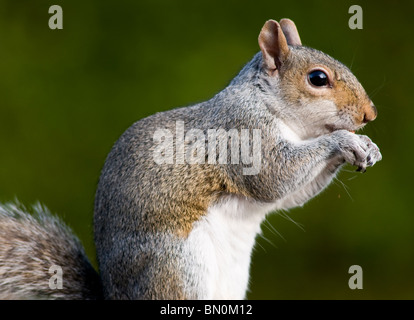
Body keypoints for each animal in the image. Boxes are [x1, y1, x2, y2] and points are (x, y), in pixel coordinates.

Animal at [0, 19, 382, 300]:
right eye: (318, 78)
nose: (370, 114)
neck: (272, 106)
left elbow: (288, 196)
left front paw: (368, 146)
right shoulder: (243, 134)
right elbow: (273, 178)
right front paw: (345, 139)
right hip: (176, 269)